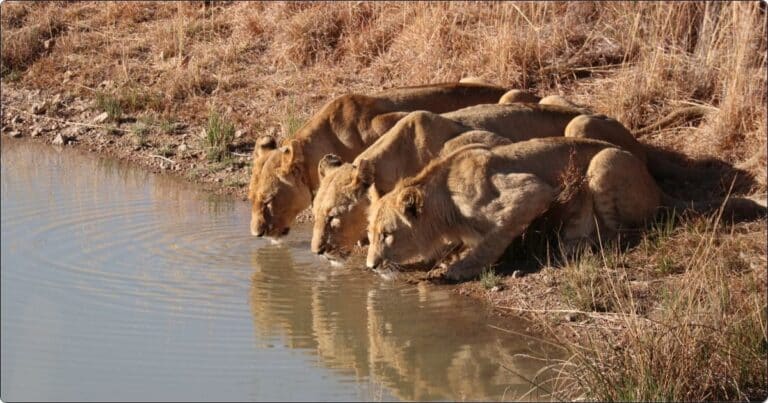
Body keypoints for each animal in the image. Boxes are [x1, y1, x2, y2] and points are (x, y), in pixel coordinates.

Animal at [366, 137, 768, 282]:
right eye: (369, 235)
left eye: (387, 235)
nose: (369, 265)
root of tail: (658, 188)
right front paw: (440, 259)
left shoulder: (532, 192)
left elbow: (491, 239)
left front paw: (456, 269)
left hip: (603, 163)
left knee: (624, 233)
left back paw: (577, 244)